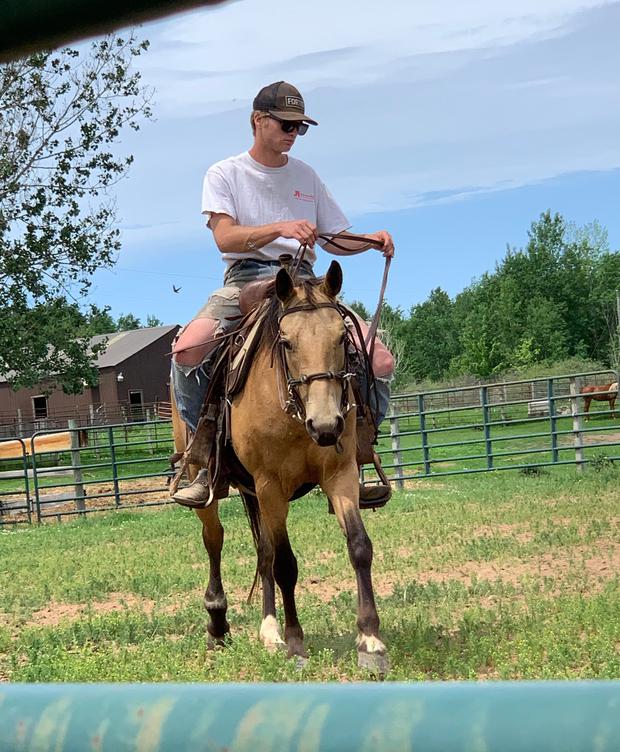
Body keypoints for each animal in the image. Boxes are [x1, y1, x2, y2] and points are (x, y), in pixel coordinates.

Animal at [170, 260, 388, 674]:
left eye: (342, 338)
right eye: (286, 342)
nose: (326, 425)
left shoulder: (339, 475)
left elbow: (359, 546)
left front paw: (370, 641)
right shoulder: (271, 484)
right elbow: (286, 563)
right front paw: (295, 643)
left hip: (257, 492)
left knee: (264, 551)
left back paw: (267, 630)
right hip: (212, 486)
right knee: (215, 540)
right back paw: (218, 625)